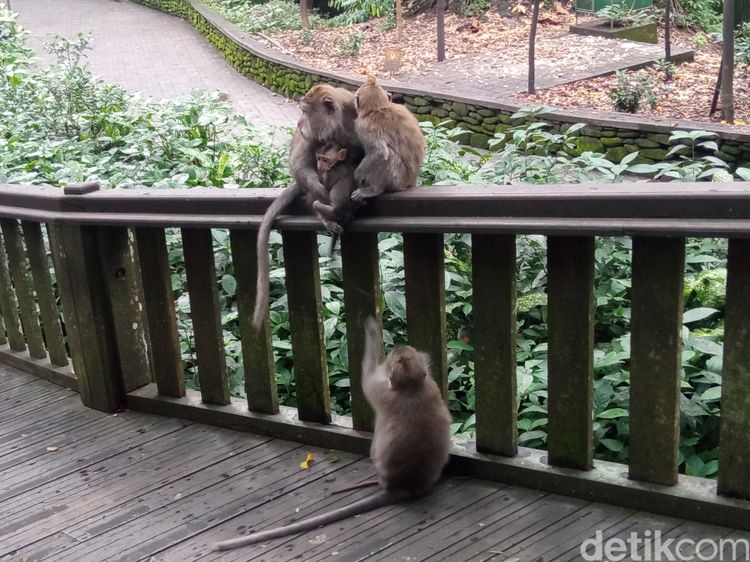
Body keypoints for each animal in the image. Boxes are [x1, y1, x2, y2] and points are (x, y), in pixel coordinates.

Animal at [213, 317, 452, 551]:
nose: (400, 347)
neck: (411, 387)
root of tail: (406, 485)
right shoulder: (430, 386)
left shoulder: (382, 391)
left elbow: (366, 378)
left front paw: (371, 329)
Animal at [252, 84, 363, 331]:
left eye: (304, 111)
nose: (298, 123)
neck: (338, 128)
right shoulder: (312, 138)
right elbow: (299, 164)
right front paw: (328, 200)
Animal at [350, 76, 426, 204]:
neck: (378, 107)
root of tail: (412, 181)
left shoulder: (363, 127)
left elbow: (380, 152)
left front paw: (357, 175)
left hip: (398, 179)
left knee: (388, 156)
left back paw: (375, 189)